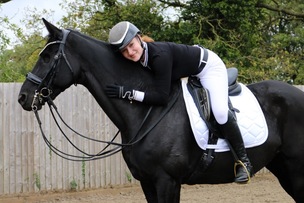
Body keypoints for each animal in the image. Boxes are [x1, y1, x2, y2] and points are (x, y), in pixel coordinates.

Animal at [18, 18, 304, 201]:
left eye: (46, 57)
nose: (24, 97)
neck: (145, 114)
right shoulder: (147, 182)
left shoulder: (167, 181)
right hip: (282, 167)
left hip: (295, 168)